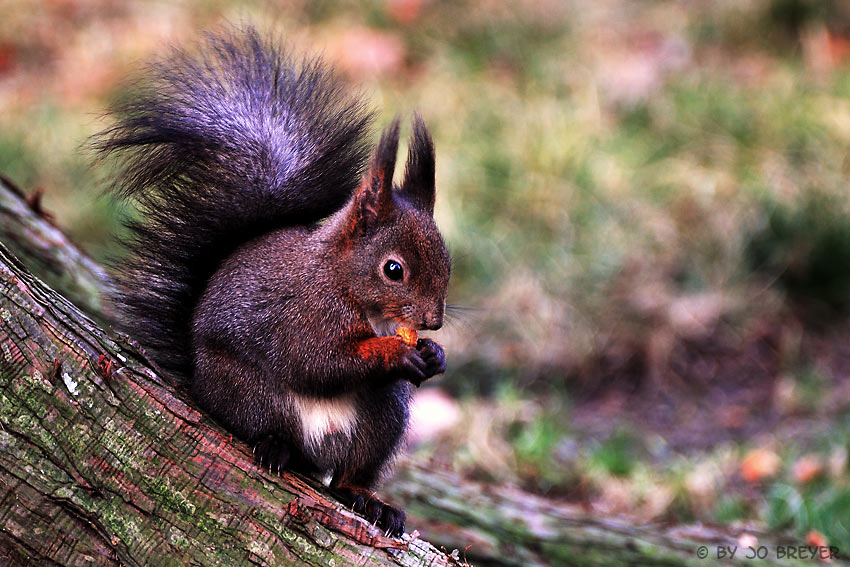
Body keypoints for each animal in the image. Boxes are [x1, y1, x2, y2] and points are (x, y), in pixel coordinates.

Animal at [97, 26, 450, 540]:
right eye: (393, 270)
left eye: (447, 259)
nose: (434, 322)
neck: (344, 284)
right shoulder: (301, 314)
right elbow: (319, 361)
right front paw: (396, 354)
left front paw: (434, 354)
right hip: (245, 390)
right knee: (262, 426)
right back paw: (275, 446)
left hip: (384, 416)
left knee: (349, 474)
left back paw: (370, 500)